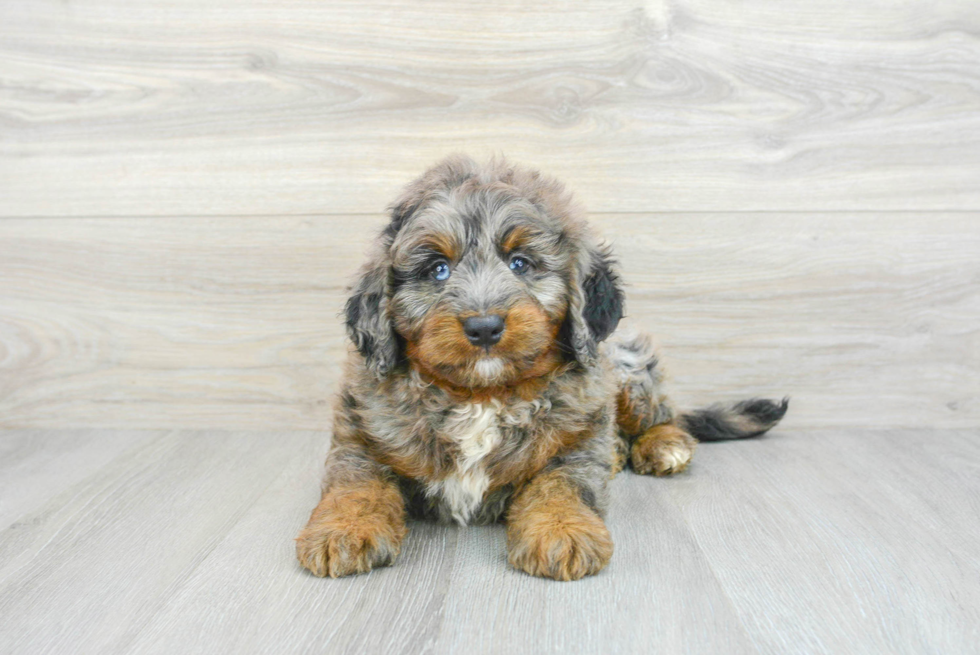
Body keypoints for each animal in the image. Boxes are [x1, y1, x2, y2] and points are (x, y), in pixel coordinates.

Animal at [292, 156, 788, 580]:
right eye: (437, 269)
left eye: (520, 263)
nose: (484, 327)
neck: (483, 394)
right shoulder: (362, 432)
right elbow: (355, 482)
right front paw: (343, 529)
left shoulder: (577, 437)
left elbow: (561, 485)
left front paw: (561, 532)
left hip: (626, 367)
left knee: (661, 412)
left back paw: (663, 445)